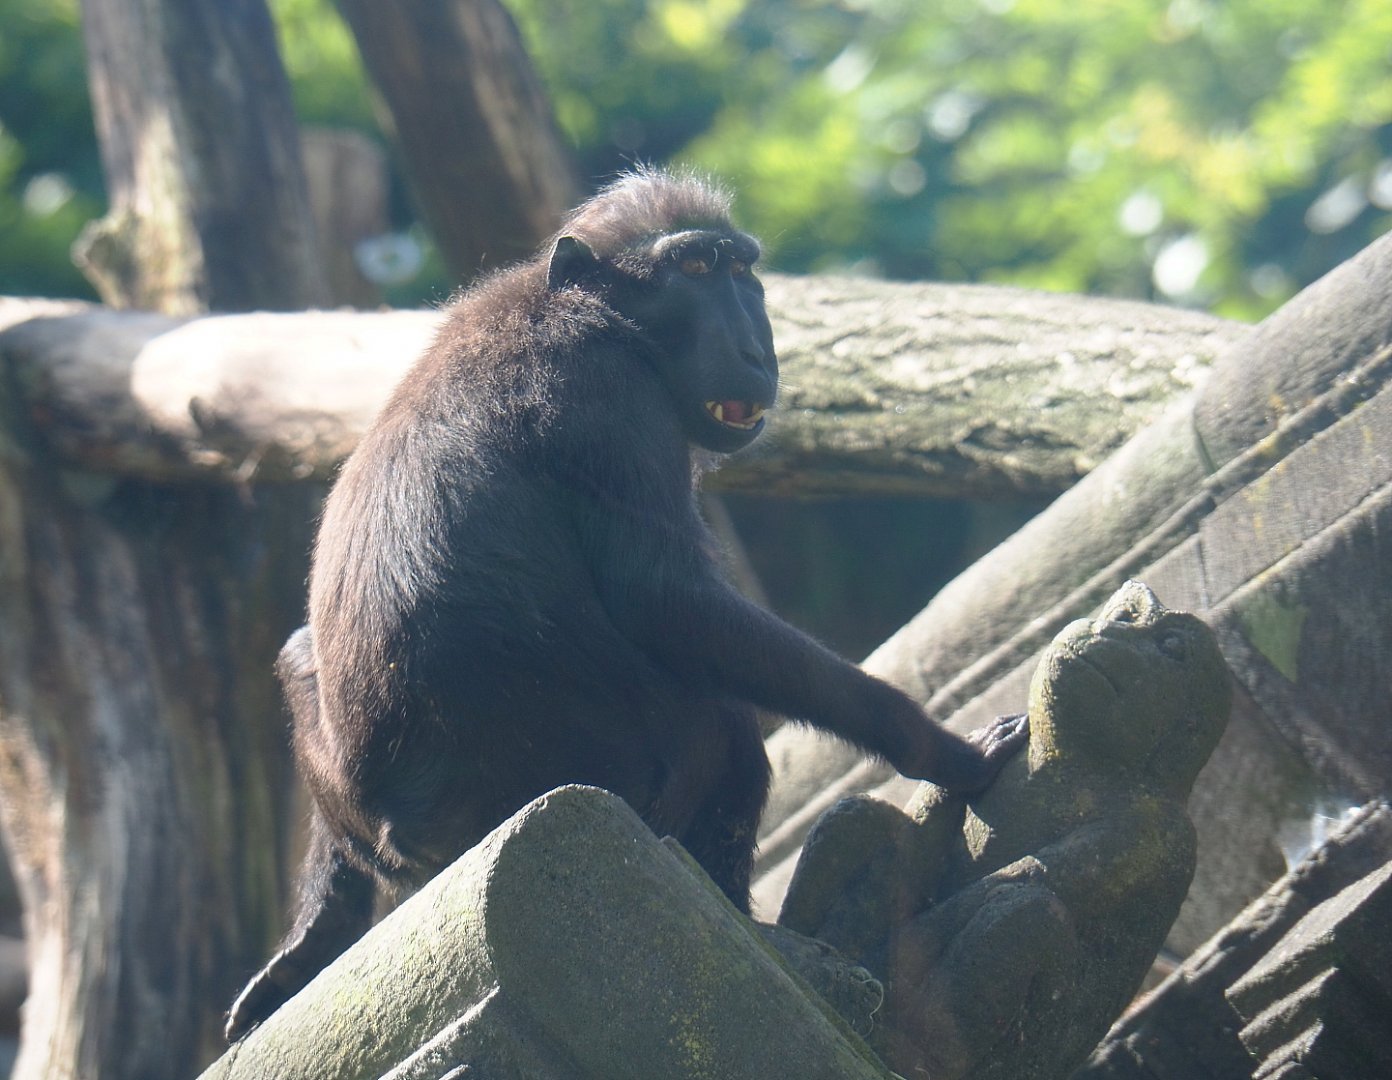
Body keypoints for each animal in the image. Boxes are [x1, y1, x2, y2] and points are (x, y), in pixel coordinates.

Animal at [225, 169, 1027, 1041]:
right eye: (697, 271)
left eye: (740, 269)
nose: (756, 350)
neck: (591, 307)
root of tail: (403, 821)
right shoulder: (606, 390)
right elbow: (669, 601)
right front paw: (940, 751)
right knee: (720, 716)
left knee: (300, 654)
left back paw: (314, 941)